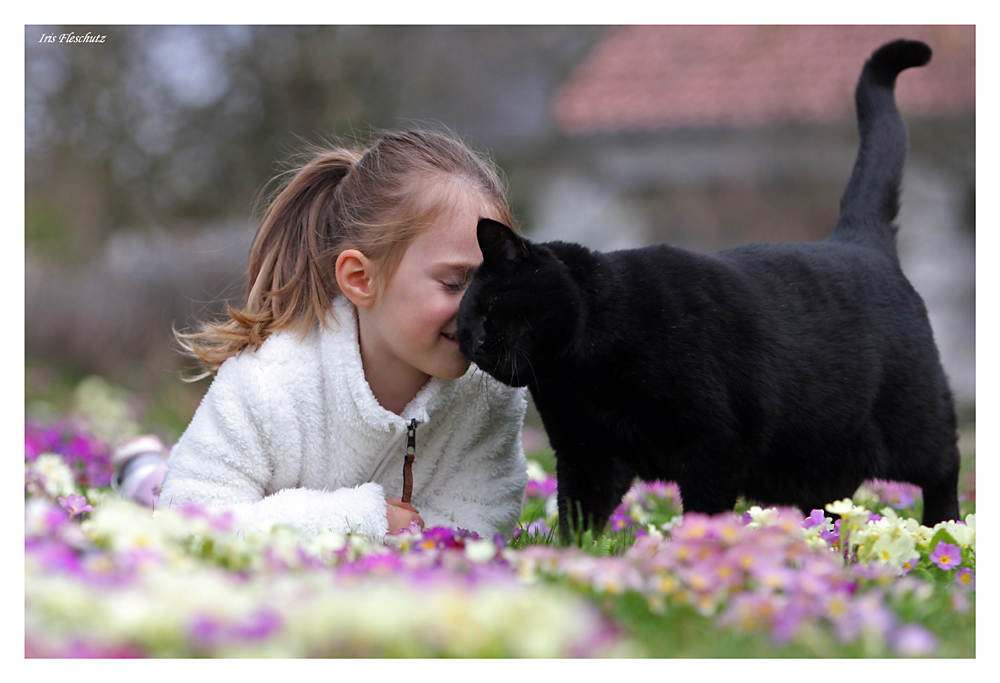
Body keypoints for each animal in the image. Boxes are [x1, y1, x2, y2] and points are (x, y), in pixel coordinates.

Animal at [456, 40, 960, 536]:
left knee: (946, 467)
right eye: (461, 325)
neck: (582, 369)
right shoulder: (588, 452)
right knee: (834, 510)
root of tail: (858, 238)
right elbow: (578, 520)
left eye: (492, 305)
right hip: (819, 462)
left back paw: (945, 529)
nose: (475, 342)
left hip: (917, 426)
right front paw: (573, 554)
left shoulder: (714, 448)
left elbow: (703, 512)